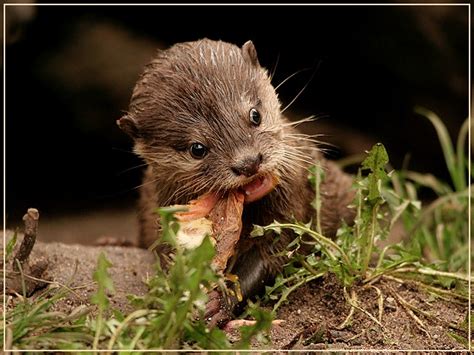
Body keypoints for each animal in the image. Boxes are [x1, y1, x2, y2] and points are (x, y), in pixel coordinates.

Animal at [118, 38, 356, 326]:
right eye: (197, 148)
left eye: (255, 115)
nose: (249, 162)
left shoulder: (292, 196)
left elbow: (271, 256)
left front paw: (222, 301)